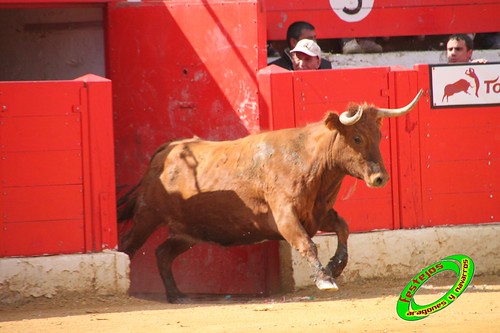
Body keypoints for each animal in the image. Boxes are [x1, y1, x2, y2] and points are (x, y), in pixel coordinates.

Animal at [117, 89, 422, 302]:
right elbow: (308, 244)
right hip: (147, 216)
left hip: (188, 231)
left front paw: (335, 266)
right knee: (128, 246)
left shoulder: (318, 213)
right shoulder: (285, 217)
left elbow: (343, 228)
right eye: (357, 138)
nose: (380, 178)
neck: (309, 161)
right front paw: (324, 278)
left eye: (379, 136)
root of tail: (168, 149)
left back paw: (177, 294)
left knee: (162, 254)